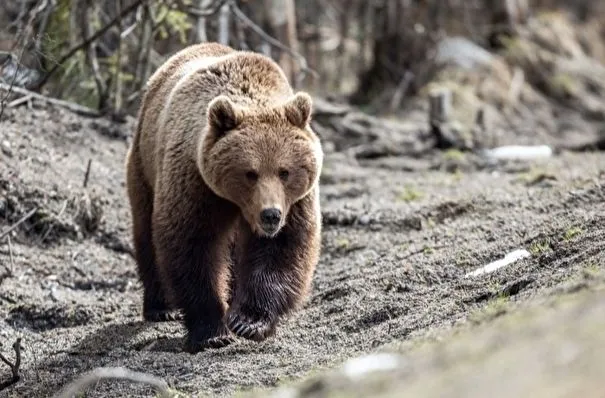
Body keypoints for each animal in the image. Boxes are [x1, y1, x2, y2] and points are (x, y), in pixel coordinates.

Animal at [124, 42, 324, 354]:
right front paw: (212, 331)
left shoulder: (296, 202)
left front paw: (248, 321)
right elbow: (192, 246)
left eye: (285, 171)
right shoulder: (195, 183)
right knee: (146, 231)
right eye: (250, 172)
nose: (270, 215)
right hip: (144, 165)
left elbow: (282, 247)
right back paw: (160, 307)